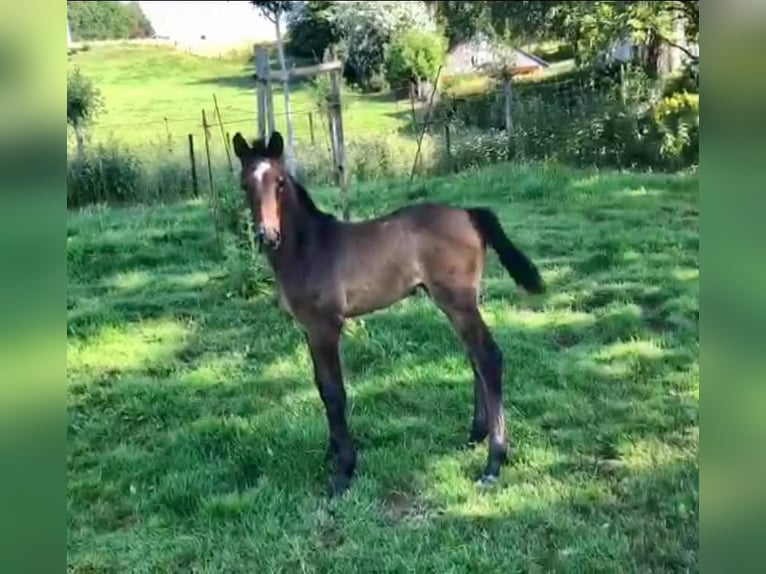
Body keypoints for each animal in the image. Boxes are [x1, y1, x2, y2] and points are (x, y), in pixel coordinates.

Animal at [231, 130, 546, 497]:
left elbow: (334, 393)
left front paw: (343, 472)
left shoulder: (326, 326)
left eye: (280, 183)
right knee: (474, 357)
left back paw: (493, 462)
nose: (267, 235)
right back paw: (475, 434)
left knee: (488, 357)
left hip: (457, 300)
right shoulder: (308, 329)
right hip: (458, 302)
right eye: (244, 185)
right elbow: (322, 388)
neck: (308, 248)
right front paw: (331, 454)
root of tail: (468, 213)